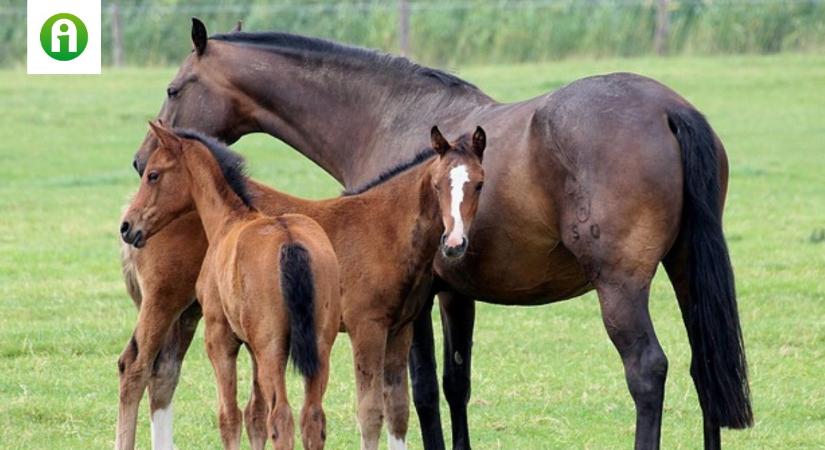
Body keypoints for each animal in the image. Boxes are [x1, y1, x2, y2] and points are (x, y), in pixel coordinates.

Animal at [117, 123, 490, 450]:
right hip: (164, 302)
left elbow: (397, 410)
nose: (455, 242)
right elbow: (370, 411)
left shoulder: (400, 329)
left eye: (479, 185)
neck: (387, 227)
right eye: (439, 185)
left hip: (191, 314)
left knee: (163, 375)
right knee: (133, 368)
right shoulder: (366, 328)